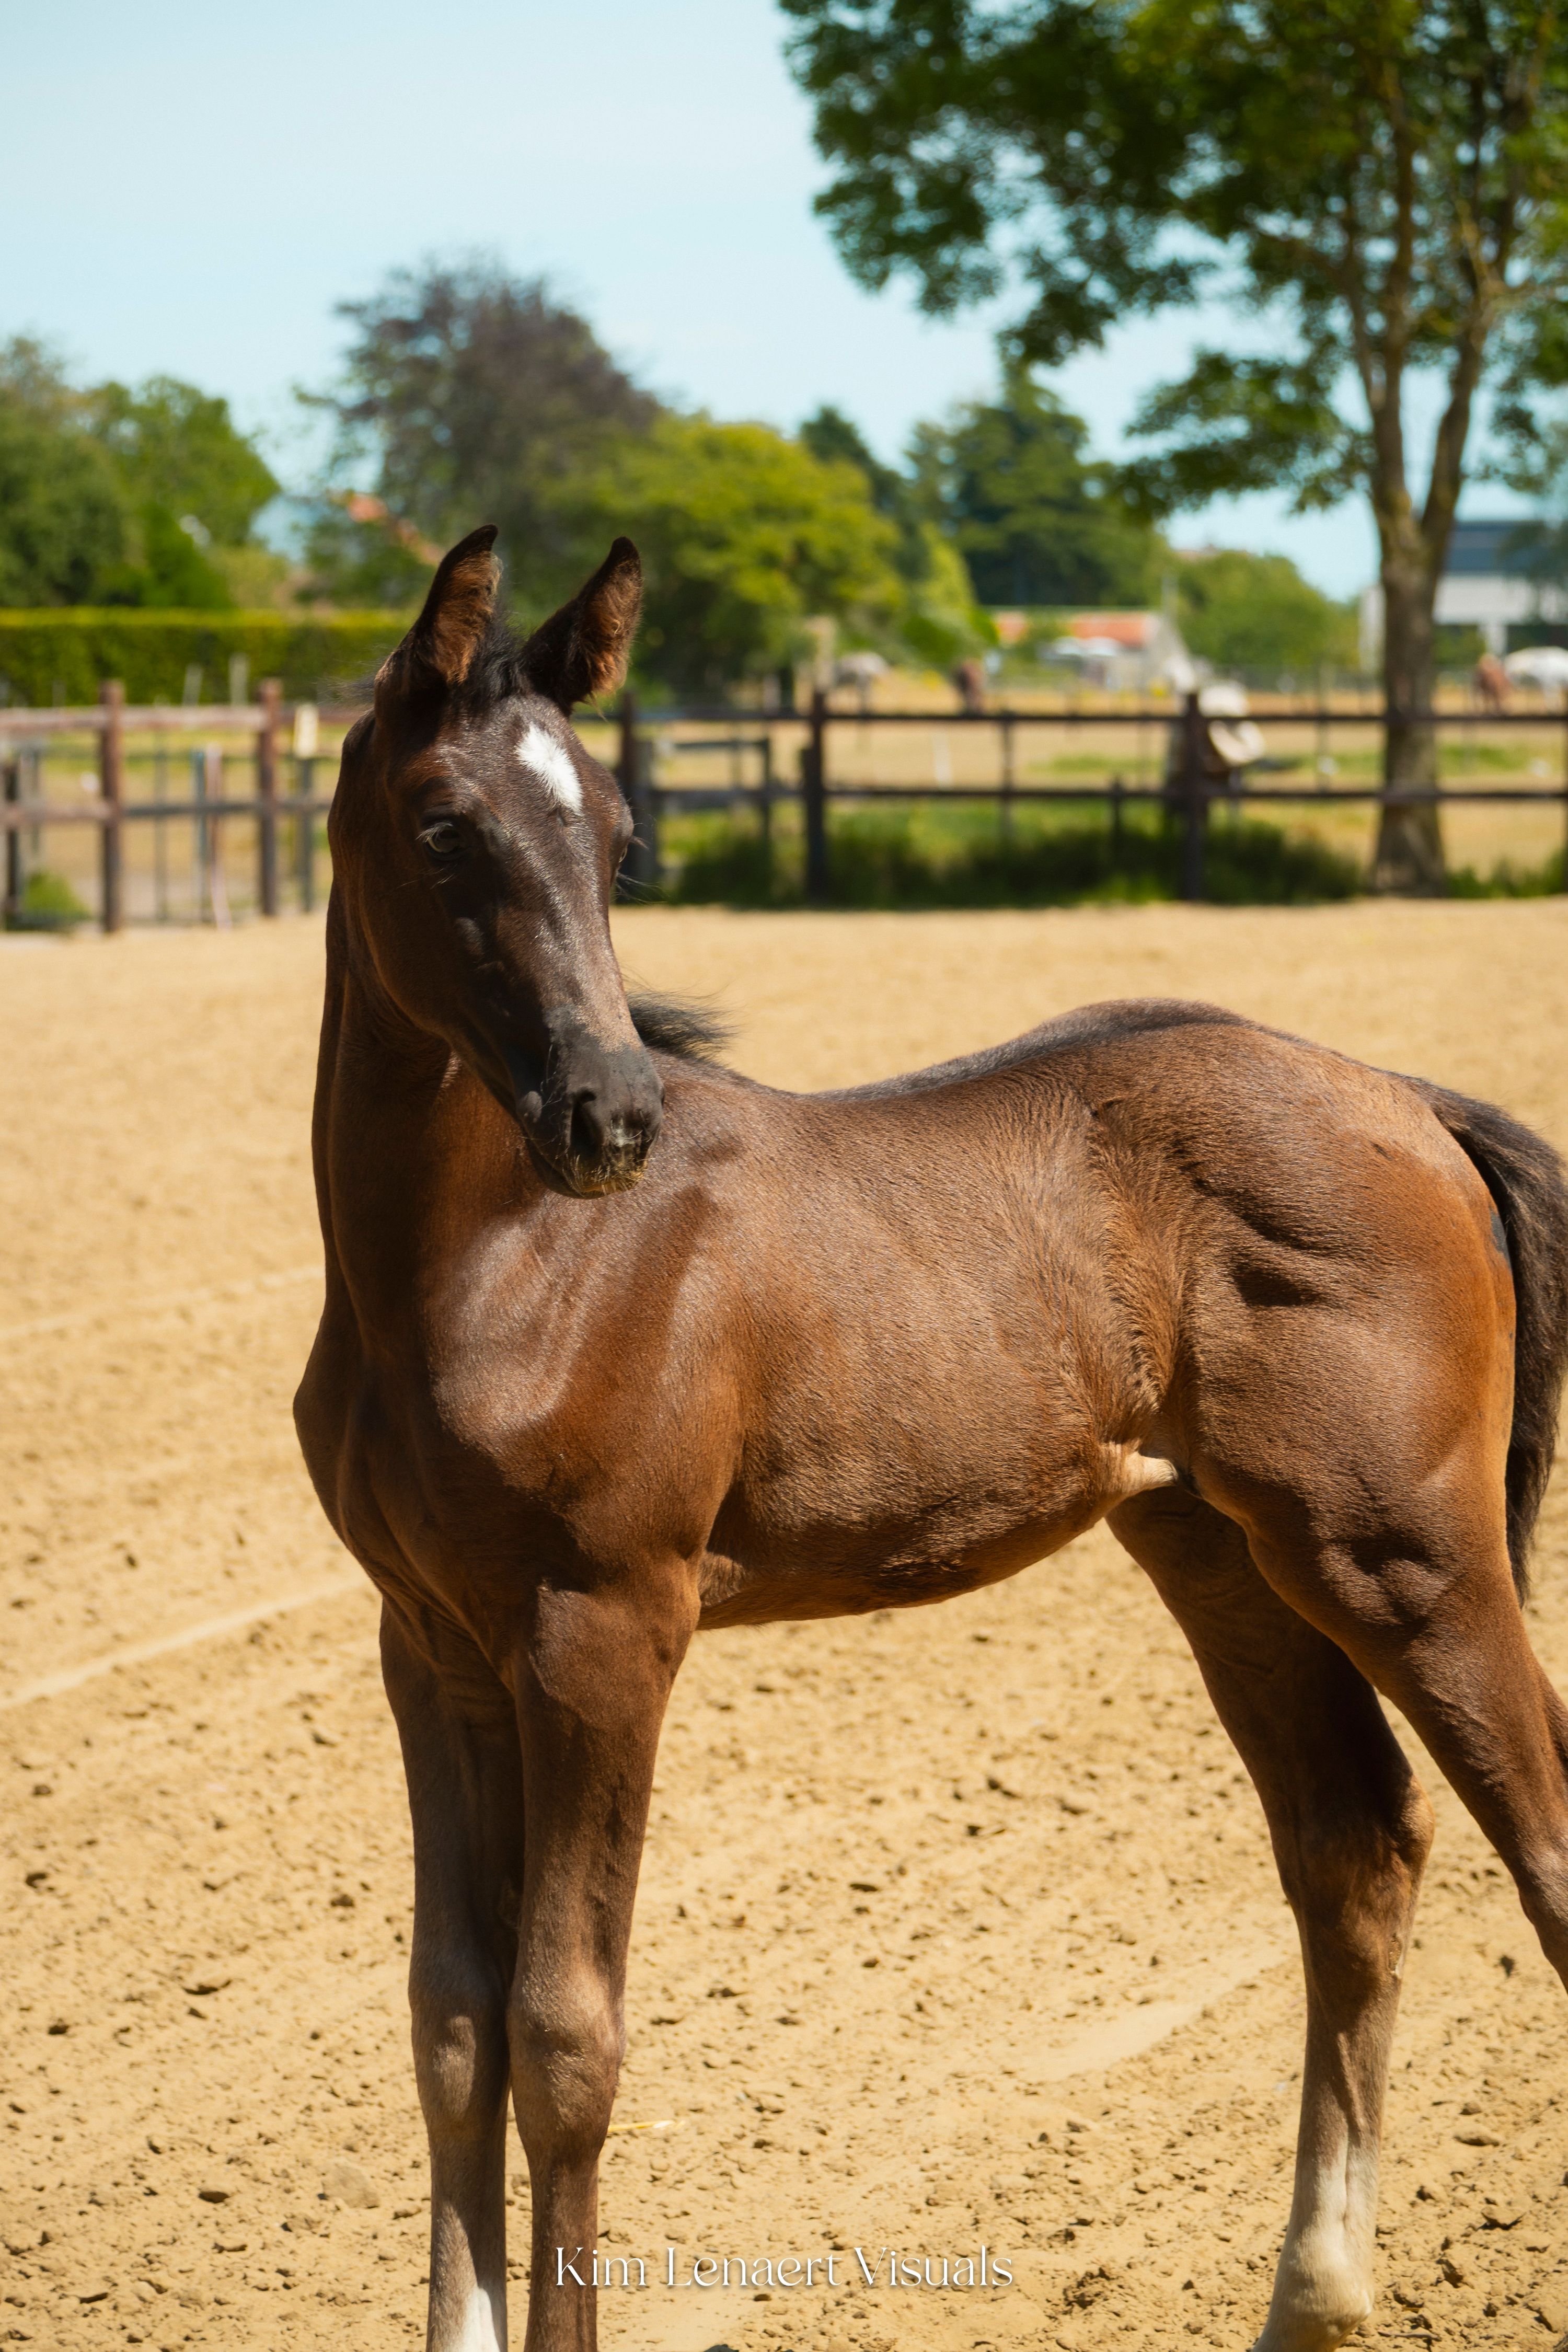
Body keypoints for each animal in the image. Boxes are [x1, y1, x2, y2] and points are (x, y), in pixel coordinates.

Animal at [295, 525, 1568, 2352]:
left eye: (615, 833)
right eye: (447, 825)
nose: (610, 1112)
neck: (497, 1261)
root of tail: (1411, 1100)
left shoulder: (605, 1628)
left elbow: (565, 2036)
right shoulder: (434, 1645)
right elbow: (454, 2026)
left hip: (1406, 1551)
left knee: (1535, 1846)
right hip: (1223, 1550)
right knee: (1353, 1847)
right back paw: (1315, 2293)